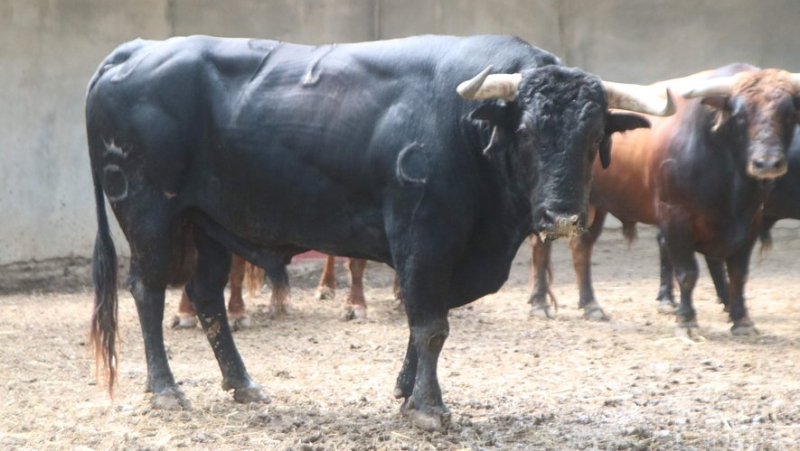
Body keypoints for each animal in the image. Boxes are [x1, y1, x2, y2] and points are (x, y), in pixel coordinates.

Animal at [87, 33, 672, 430]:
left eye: (594, 136)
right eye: (526, 131)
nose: (563, 217)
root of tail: (135, 51)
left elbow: (423, 323)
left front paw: (406, 391)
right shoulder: (424, 237)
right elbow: (431, 324)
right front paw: (429, 407)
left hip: (209, 222)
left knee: (206, 295)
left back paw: (244, 385)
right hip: (150, 214)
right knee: (147, 291)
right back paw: (165, 389)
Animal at [532, 66, 800, 336]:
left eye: (789, 113)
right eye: (741, 114)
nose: (767, 163)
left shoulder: (751, 221)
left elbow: (738, 273)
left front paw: (742, 320)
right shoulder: (676, 218)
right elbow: (687, 272)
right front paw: (686, 319)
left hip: (596, 206)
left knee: (582, 247)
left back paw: (590, 305)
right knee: (541, 245)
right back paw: (540, 303)